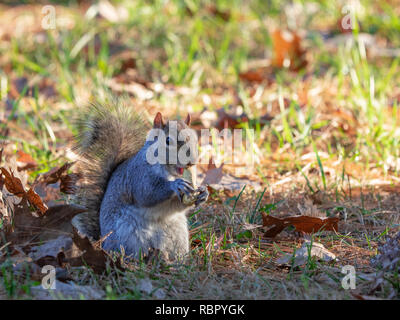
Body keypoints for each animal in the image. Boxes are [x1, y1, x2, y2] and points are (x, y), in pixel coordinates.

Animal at [71, 99, 208, 260]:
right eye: (168, 140)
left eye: (195, 138)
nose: (191, 162)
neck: (168, 171)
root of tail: (102, 241)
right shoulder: (138, 175)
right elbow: (146, 193)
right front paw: (175, 185)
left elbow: (178, 205)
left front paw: (203, 193)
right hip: (125, 235)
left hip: (177, 234)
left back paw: (175, 260)